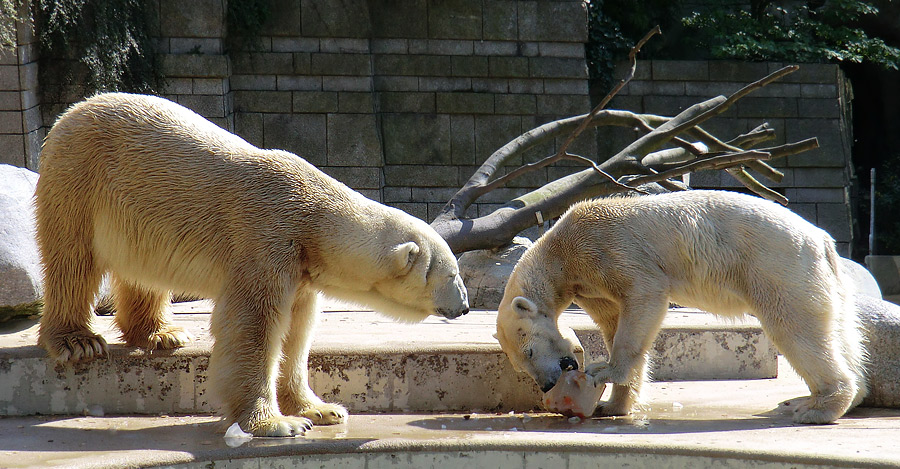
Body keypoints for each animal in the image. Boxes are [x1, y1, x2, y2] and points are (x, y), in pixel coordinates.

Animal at [33, 91, 472, 436]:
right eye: (452, 273)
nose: (466, 306)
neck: (312, 217)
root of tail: (72, 111)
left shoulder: (301, 269)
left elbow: (297, 332)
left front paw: (321, 409)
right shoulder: (266, 241)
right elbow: (253, 326)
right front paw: (276, 423)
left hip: (135, 215)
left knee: (143, 271)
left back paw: (163, 333)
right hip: (81, 178)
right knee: (72, 260)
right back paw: (78, 341)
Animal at [496, 188, 868, 422]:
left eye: (529, 351)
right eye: (519, 366)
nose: (547, 384)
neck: (560, 250)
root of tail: (821, 238)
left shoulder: (607, 249)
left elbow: (643, 295)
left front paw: (604, 371)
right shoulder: (590, 286)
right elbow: (613, 320)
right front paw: (613, 405)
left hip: (777, 265)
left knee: (793, 326)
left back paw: (816, 408)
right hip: (824, 279)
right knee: (838, 331)